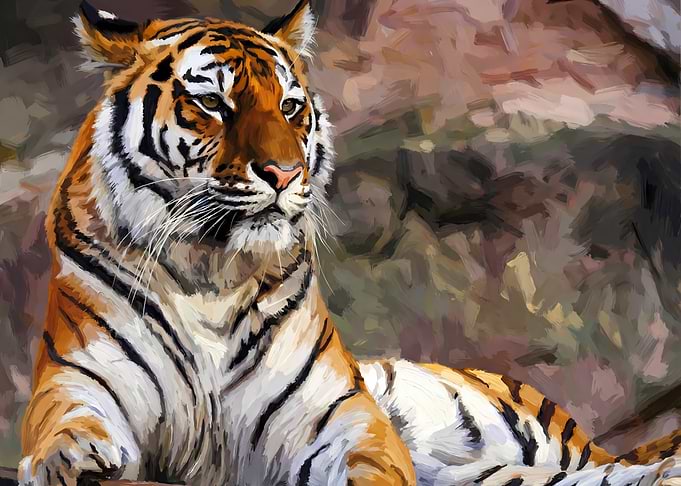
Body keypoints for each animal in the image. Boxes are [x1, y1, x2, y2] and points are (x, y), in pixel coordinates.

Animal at [17, 1, 681, 485]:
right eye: (211, 102)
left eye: (290, 106)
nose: (283, 173)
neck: (209, 271)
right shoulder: (76, 378)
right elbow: (65, 426)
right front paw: (72, 461)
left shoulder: (338, 413)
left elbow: (374, 461)